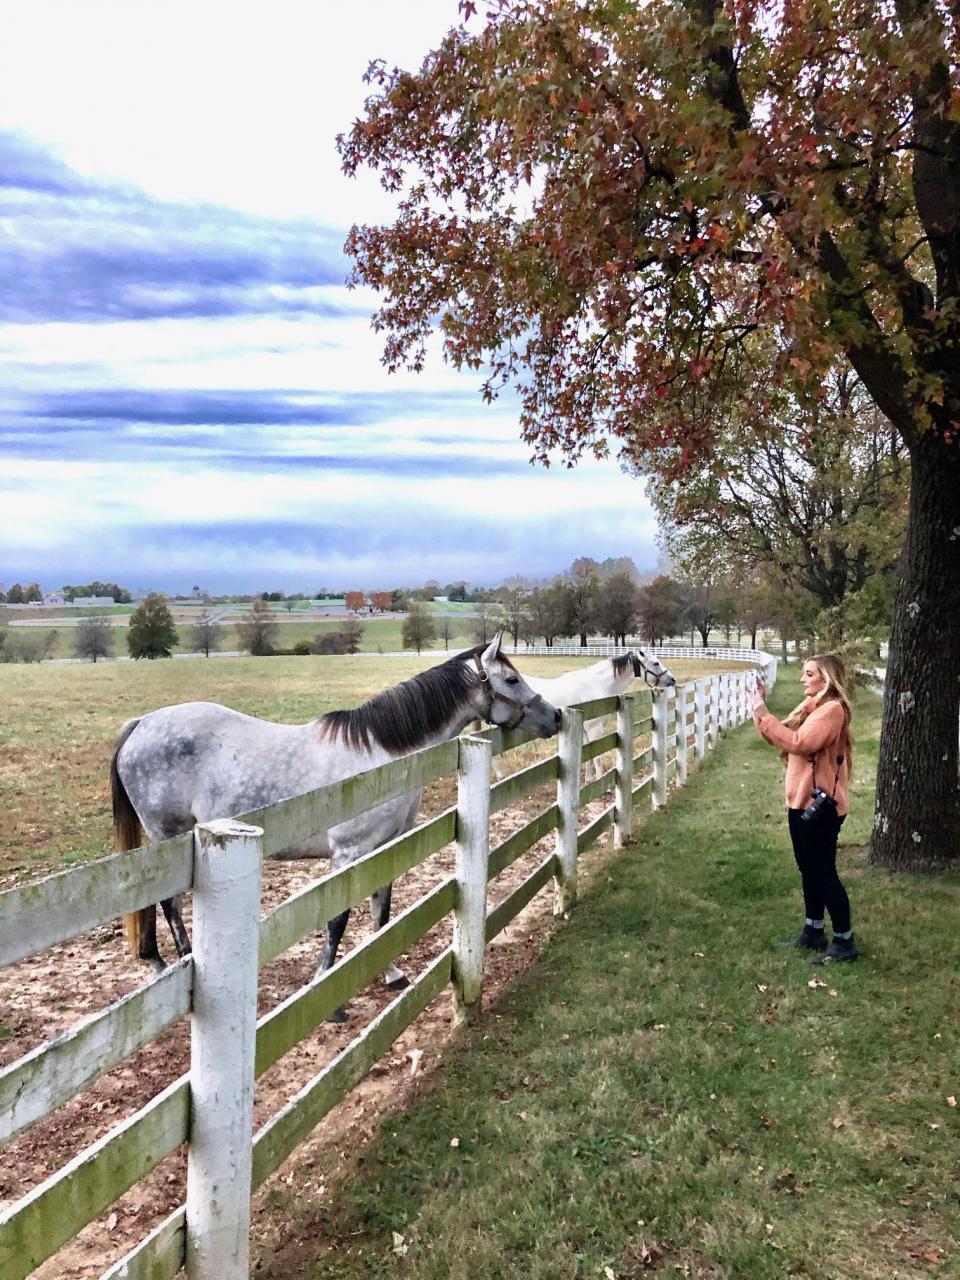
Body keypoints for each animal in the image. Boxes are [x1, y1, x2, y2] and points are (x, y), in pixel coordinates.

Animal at [110, 634, 563, 1003]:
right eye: (510, 680)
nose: (555, 715)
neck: (382, 758)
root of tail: (141, 724)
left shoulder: (385, 847)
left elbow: (381, 911)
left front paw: (390, 971)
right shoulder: (347, 853)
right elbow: (337, 920)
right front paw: (327, 992)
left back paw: (159, 963)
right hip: (167, 836)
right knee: (169, 904)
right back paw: (182, 960)